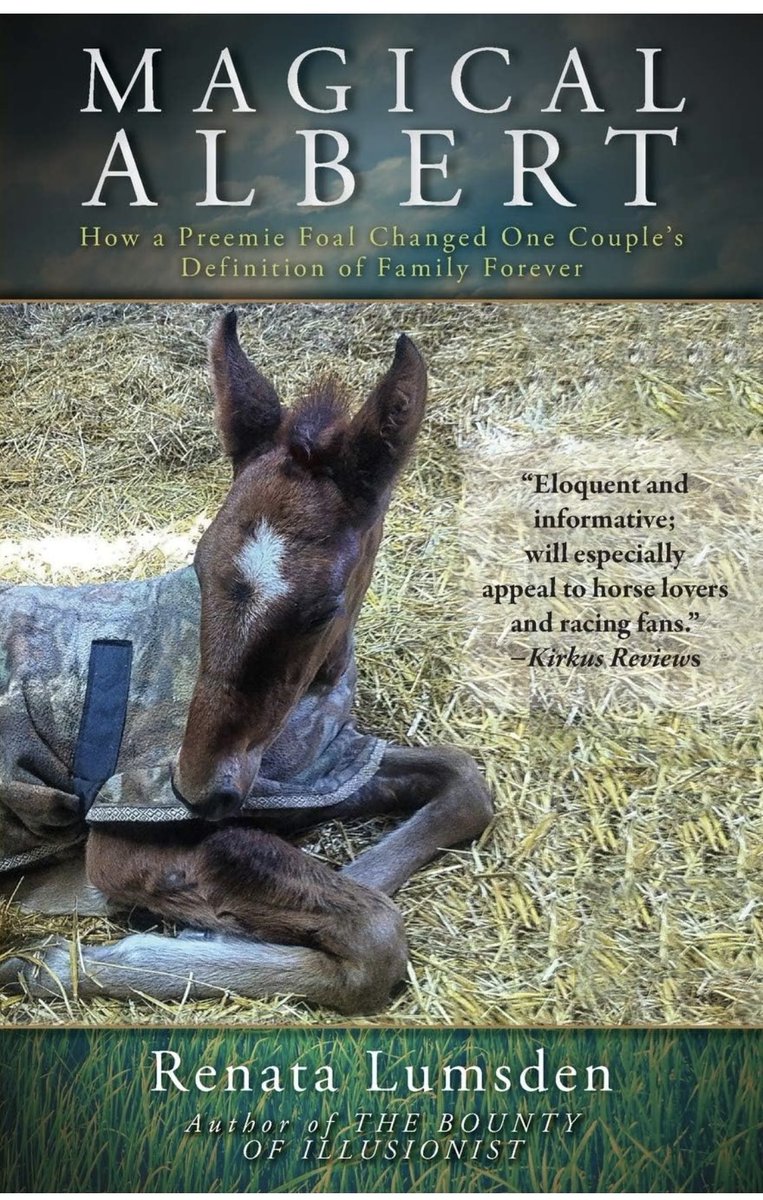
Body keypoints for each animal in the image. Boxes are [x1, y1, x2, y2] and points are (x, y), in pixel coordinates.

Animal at [0, 310, 492, 1014]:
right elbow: (373, 930)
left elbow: (463, 783)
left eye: (323, 607)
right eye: (200, 566)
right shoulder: (127, 823)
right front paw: (59, 960)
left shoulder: (320, 768)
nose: (197, 788)